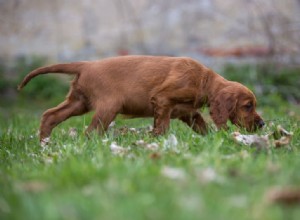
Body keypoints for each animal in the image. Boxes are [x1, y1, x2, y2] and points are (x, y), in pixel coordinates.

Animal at [17, 55, 264, 143]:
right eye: (248, 106)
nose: (262, 124)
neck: (203, 79)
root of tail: (86, 64)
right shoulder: (162, 99)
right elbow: (162, 126)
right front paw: (155, 141)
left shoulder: (187, 112)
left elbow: (200, 124)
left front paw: (210, 139)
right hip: (108, 106)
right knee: (91, 131)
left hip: (79, 102)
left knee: (50, 115)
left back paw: (44, 142)